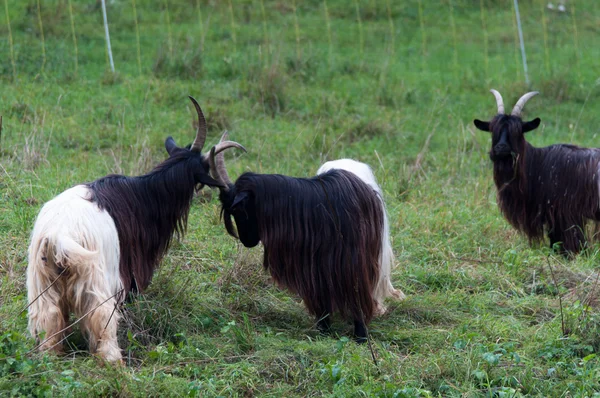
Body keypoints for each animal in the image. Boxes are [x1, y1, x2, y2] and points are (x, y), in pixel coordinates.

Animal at [27, 98, 244, 362]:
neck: (144, 195)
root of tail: (59, 237)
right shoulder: (130, 271)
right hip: (95, 279)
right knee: (101, 316)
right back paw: (113, 360)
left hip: (42, 284)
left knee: (49, 317)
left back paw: (52, 355)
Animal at [210, 137, 404, 342]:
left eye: (237, 209)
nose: (247, 241)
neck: (316, 207)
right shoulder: (315, 265)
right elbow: (321, 296)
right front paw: (324, 329)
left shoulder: (354, 262)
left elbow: (357, 294)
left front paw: (361, 335)